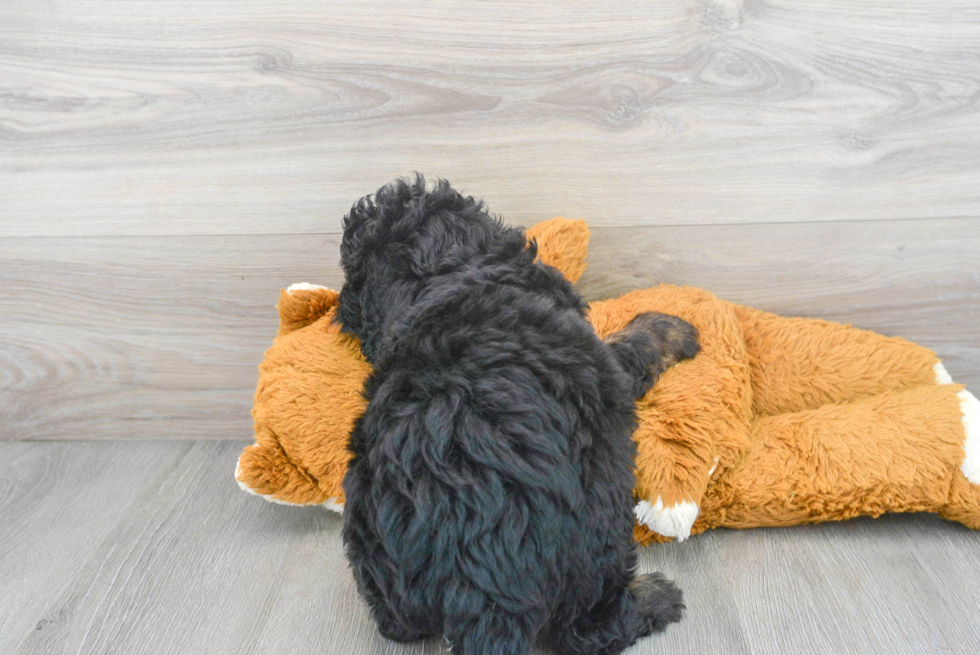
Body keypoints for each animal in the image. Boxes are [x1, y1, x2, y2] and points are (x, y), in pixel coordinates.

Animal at [336, 176, 696, 655]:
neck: (442, 283)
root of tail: (475, 584)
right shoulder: (606, 363)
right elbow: (631, 343)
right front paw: (674, 327)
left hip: (368, 541)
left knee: (395, 623)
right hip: (599, 519)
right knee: (588, 629)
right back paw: (655, 598)